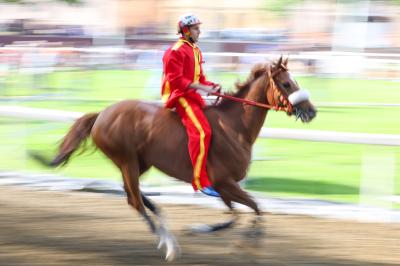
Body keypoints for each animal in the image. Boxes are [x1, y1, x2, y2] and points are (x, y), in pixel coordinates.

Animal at [32, 57, 318, 260]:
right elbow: (253, 209)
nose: (311, 111)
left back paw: (164, 227)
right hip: (127, 160)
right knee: (134, 200)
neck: (235, 127)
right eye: (286, 84)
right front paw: (236, 239)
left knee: (132, 194)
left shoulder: (224, 186)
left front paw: (217, 232)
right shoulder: (223, 182)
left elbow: (240, 213)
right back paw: (168, 244)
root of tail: (101, 114)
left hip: (140, 162)